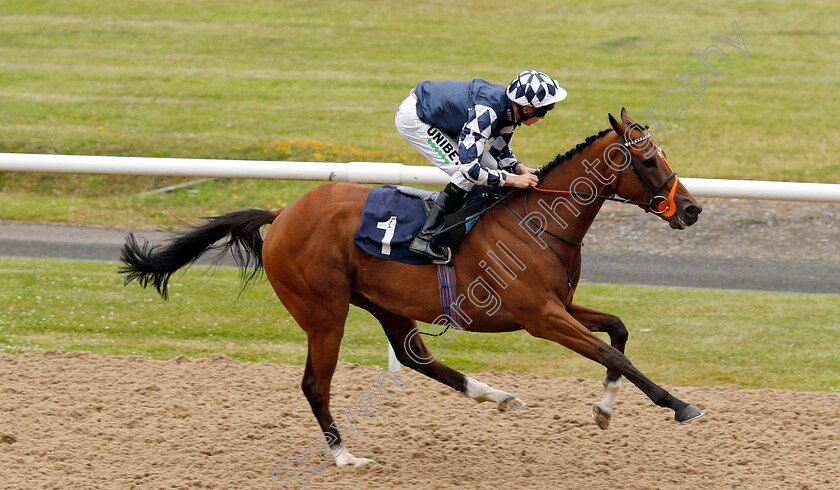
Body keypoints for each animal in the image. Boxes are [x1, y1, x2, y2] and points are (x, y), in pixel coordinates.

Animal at [121, 110, 704, 468]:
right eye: (648, 160)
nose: (693, 209)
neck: (538, 221)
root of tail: (282, 214)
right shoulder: (541, 317)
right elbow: (615, 353)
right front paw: (678, 405)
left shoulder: (558, 304)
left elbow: (618, 332)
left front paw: (604, 409)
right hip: (324, 312)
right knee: (316, 384)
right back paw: (344, 456)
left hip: (383, 304)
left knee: (416, 357)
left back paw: (496, 395)